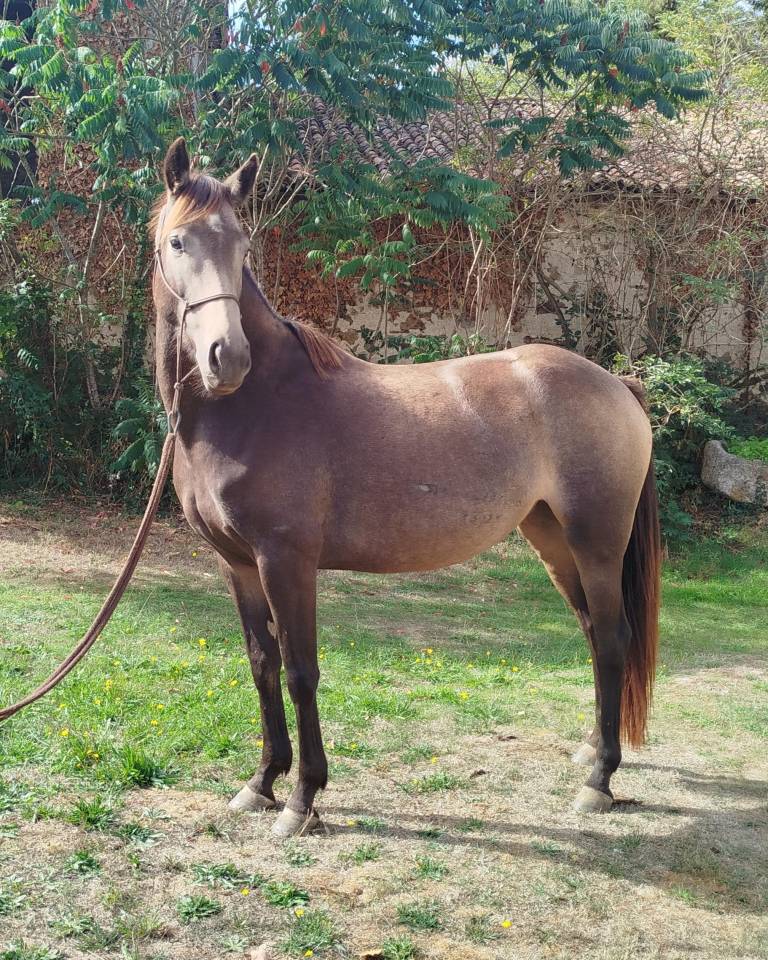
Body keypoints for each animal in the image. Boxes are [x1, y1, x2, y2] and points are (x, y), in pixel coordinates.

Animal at [152, 138, 661, 837]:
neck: (257, 405)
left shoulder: (286, 561)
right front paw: (261, 782)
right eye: (178, 241)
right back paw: (590, 751)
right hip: (553, 540)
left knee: (611, 641)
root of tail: (617, 383)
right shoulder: (238, 564)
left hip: (597, 542)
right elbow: (262, 665)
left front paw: (303, 798)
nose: (226, 358)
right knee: (592, 632)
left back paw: (599, 780)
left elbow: (301, 671)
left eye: (243, 245)